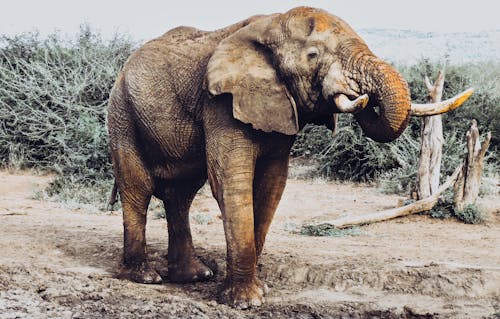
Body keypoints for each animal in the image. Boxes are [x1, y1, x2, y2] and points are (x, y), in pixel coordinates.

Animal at [108, 5, 472, 310]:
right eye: (313, 55)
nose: (363, 97)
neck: (271, 23)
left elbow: (272, 184)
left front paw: (257, 290)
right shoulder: (221, 104)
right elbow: (231, 182)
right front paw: (246, 302)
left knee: (181, 194)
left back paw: (195, 276)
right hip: (121, 113)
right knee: (139, 189)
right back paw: (145, 277)